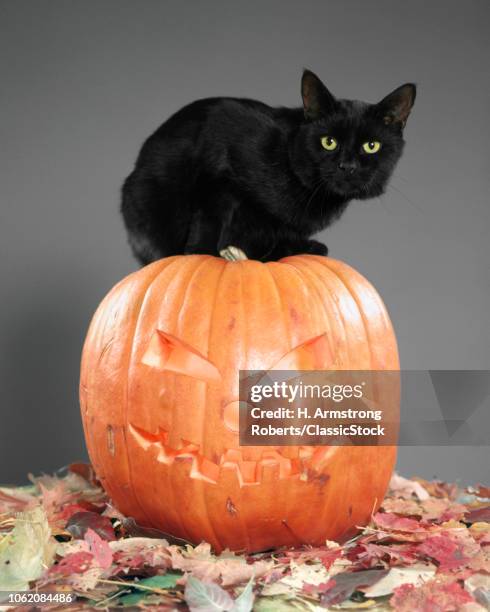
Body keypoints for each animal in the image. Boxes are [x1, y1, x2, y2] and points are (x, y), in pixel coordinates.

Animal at [120, 71, 416, 262]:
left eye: (371, 145)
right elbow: (211, 214)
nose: (348, 166)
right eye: (328, 142)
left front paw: (296, 249)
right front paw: (201, 253)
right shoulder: (217, 148)